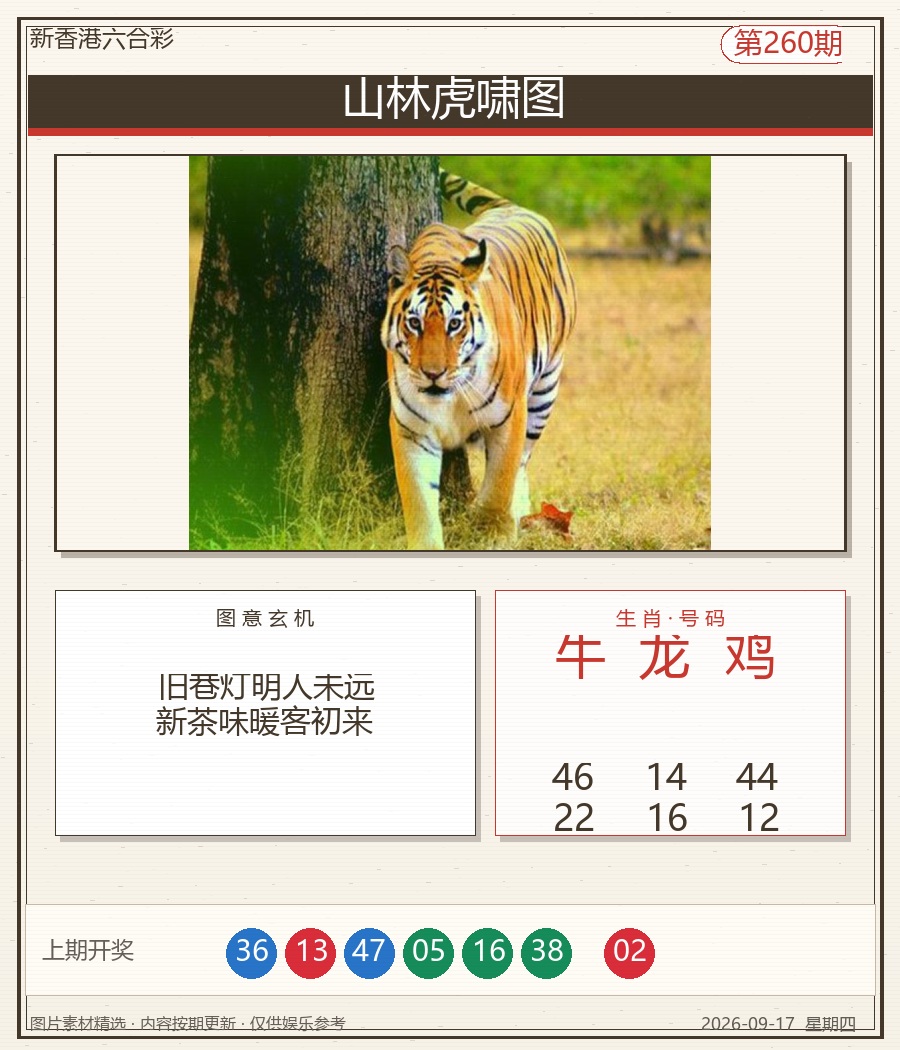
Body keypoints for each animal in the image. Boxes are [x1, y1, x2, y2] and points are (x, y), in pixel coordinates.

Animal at [381, 169, 576, 550]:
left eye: (455, 323)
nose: (433, 373)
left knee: (523, 461)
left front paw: (492, 533)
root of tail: (514, 207)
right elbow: (419, 500)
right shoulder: (411, 429)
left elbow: (499, 483)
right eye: (414, 323)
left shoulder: (508, 417)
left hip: (545, 390)